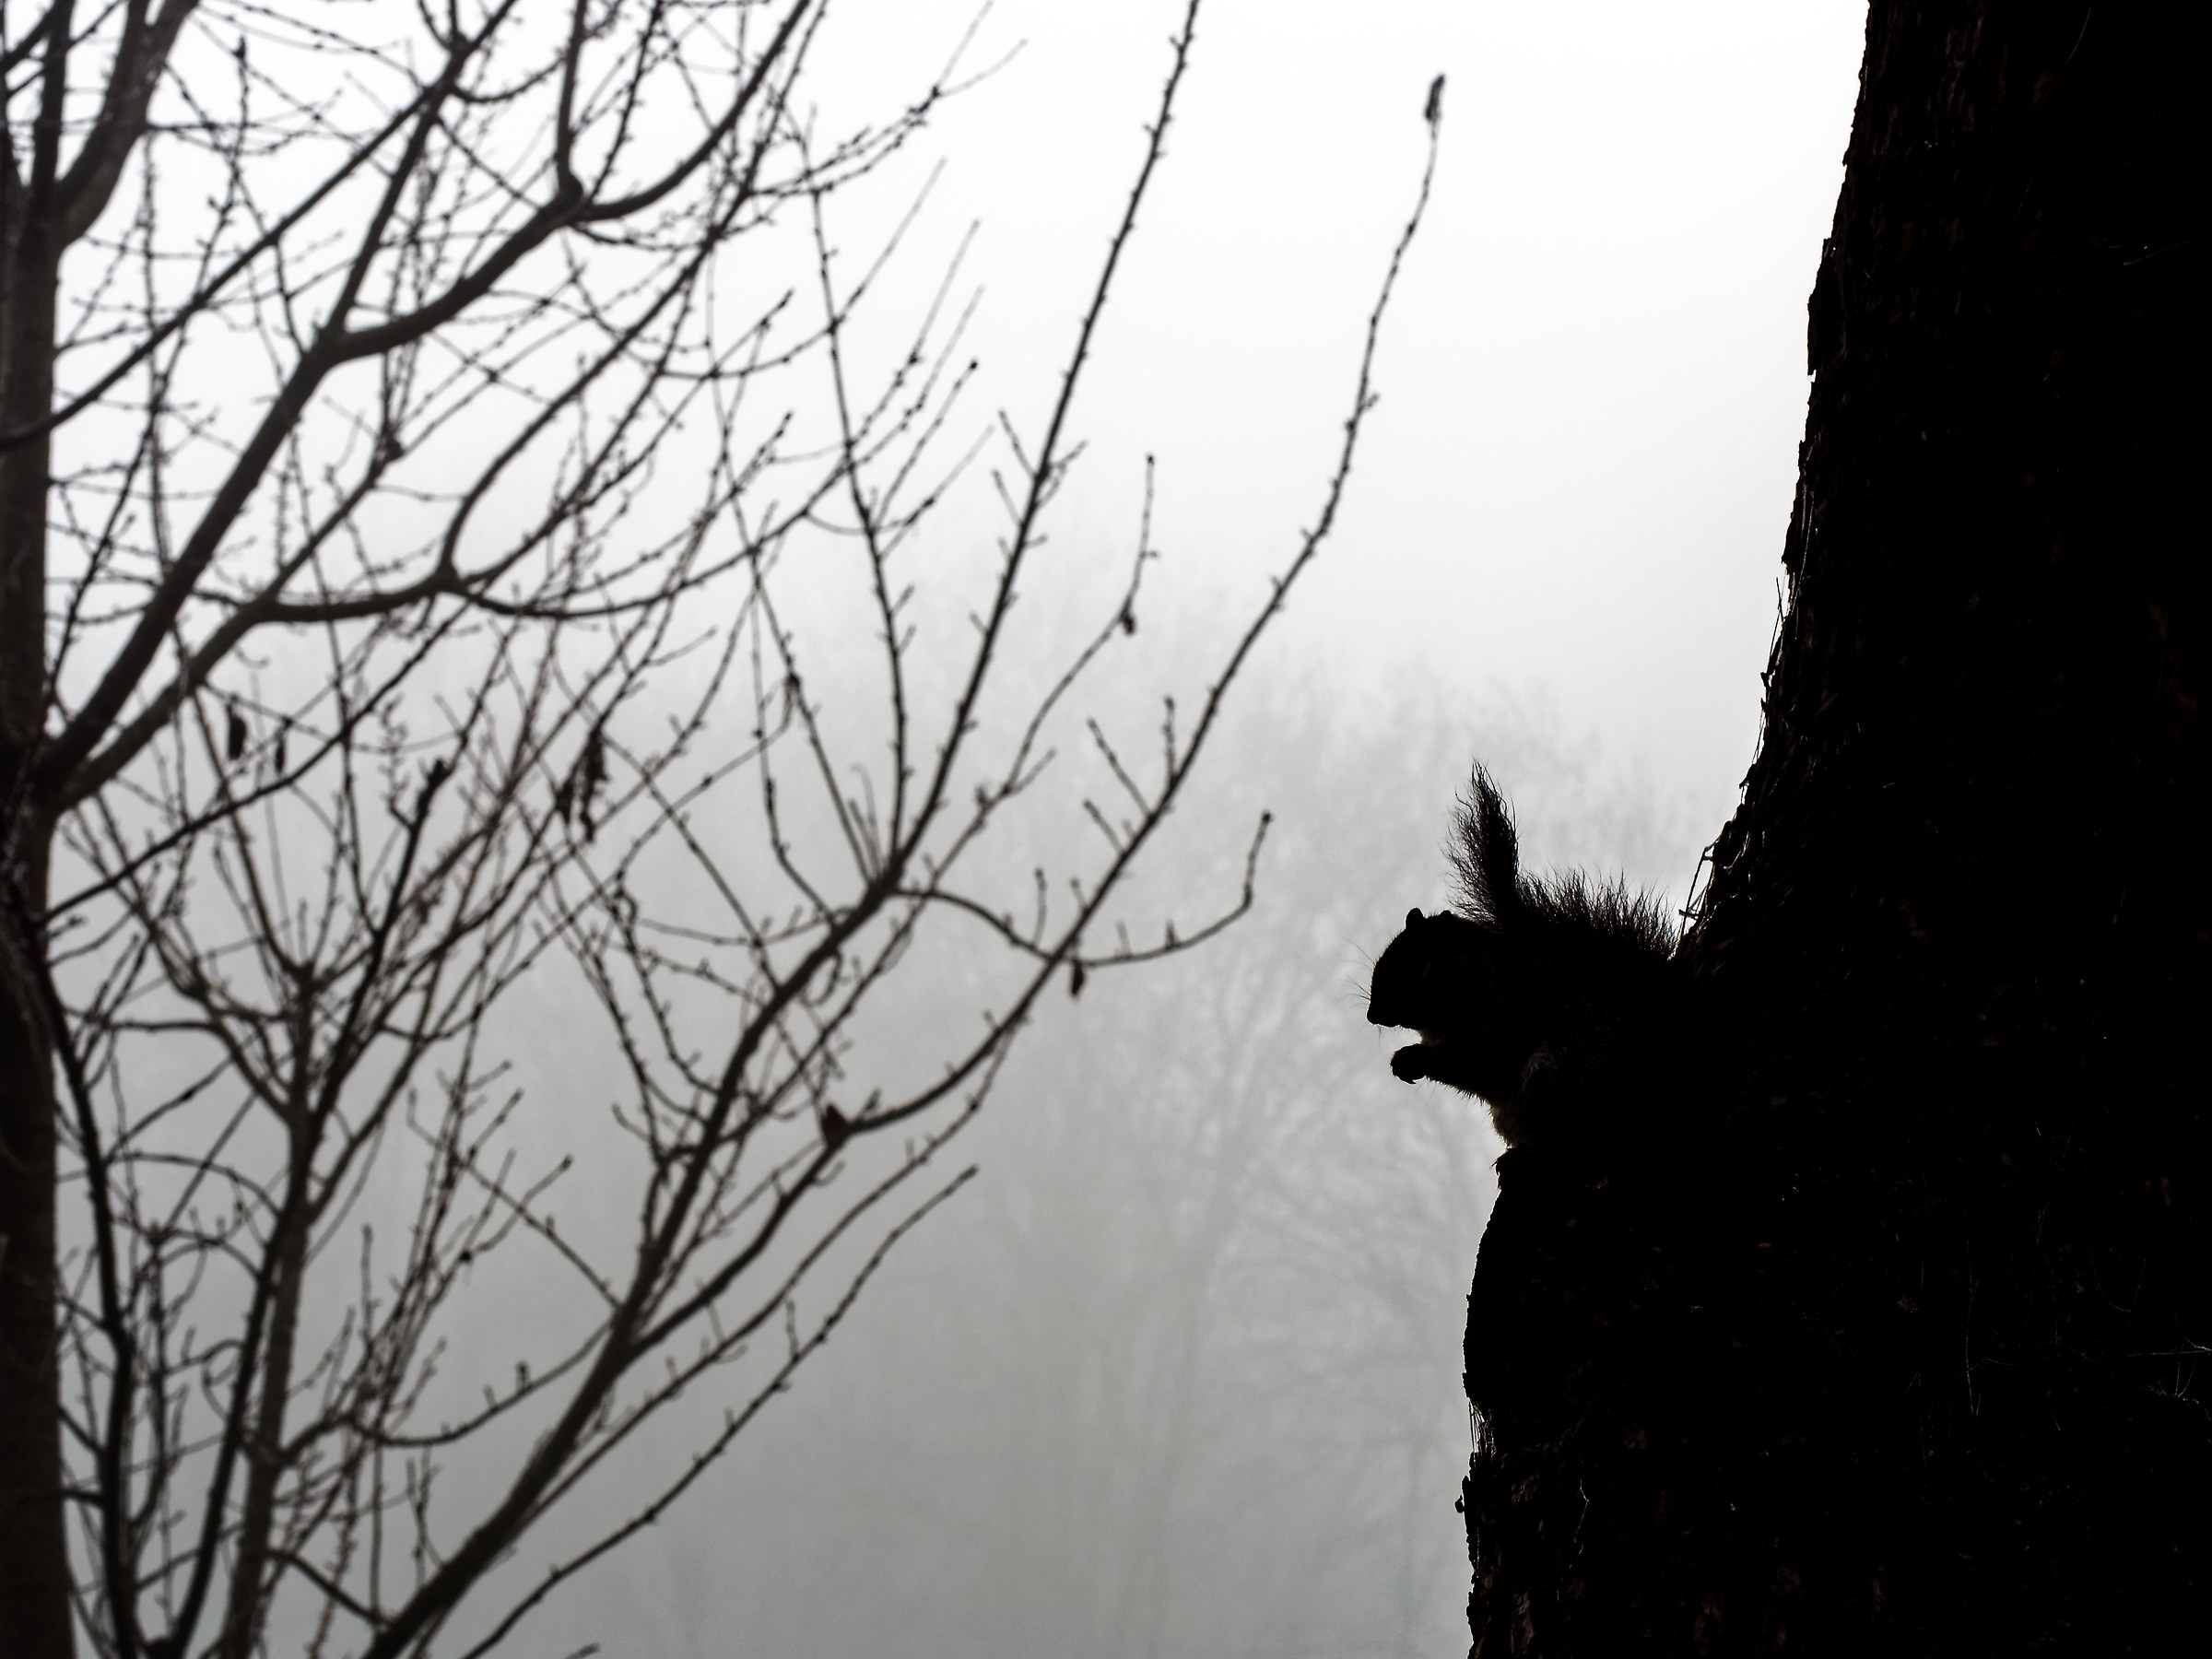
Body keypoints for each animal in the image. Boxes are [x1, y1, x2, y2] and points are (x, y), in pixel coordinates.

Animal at [1367, 767, 1683, 1149]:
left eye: (1417, 965)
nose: (1372, 1015)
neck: (1472, 976)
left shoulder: (1503, 1008)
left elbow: (1475, 1056)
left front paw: (1411, 1057)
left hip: (1561, 1071)